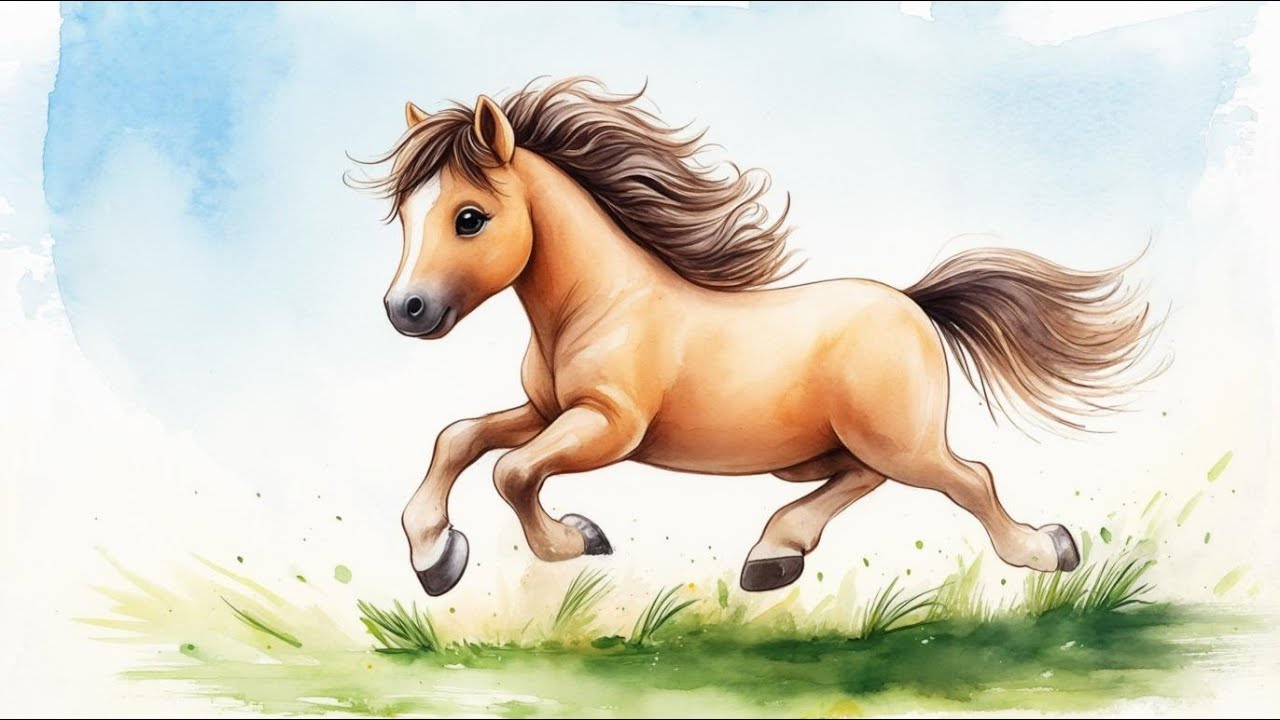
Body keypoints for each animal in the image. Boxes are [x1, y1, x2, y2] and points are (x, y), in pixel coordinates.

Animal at [359, 78, 1157, 597]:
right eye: (405, 215)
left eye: (468, 217)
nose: (406, 309)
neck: (601, 305)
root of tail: (910, 304)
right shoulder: (548, 411)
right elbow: (459, 439)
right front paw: (435, 556)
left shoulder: (608, 426)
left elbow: (512, 472)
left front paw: (573, 538)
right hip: (841, 447)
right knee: (861, 480)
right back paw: (776, 555)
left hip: (901, 440)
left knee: (971, 479)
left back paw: (1049, 549)